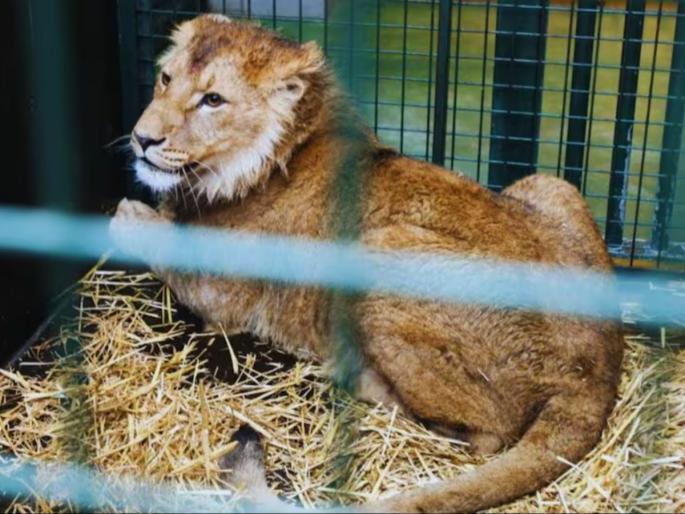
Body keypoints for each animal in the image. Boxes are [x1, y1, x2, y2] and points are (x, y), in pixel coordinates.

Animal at [110, 14, 623, 513]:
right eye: (166, 78)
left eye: (213, 100)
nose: (142, 138)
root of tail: (599, 368)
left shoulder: (223, 300)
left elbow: (155, 237)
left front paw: (130, 214)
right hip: (552, 184)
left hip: (380, 252)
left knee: (486, 436)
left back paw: (352, 375)